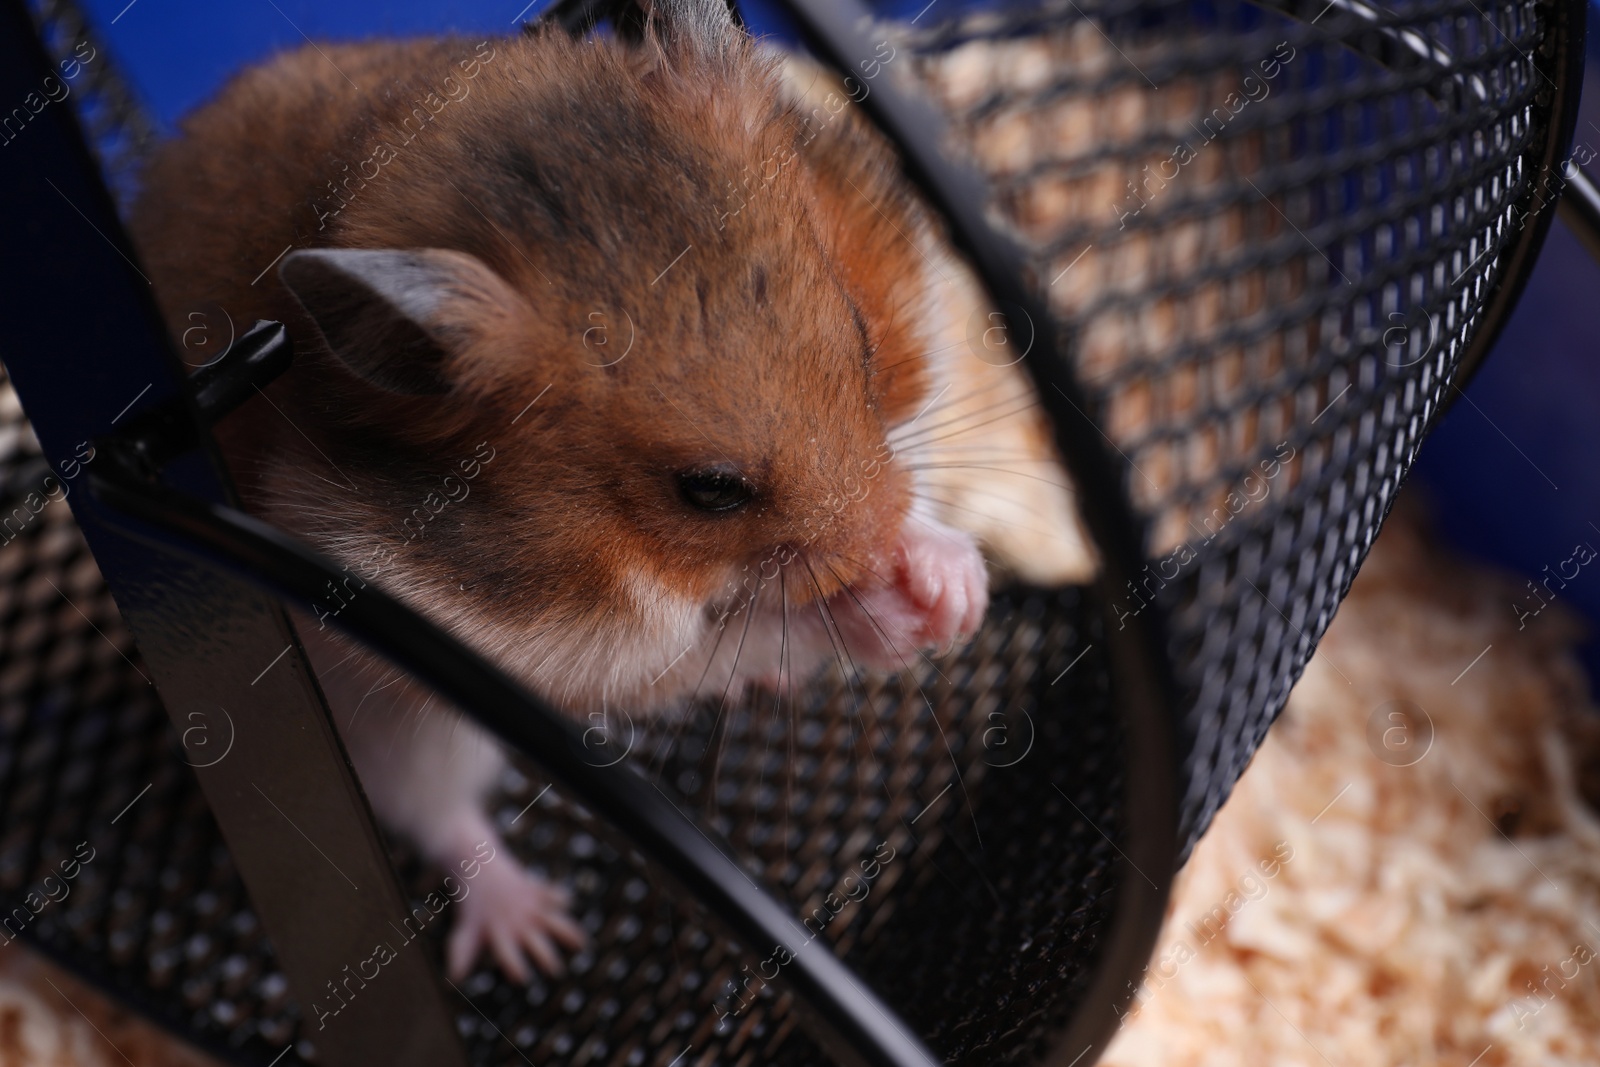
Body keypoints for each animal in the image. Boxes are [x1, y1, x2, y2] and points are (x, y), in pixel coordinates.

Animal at [131, 0, 1094, 985]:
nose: (878, 550)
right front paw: (898, 612)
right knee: (440, 815)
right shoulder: (550, 648)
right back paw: (534, 941)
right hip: (398, 723)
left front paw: (948, 584)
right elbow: (722, 642)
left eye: (863, 343)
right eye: (710, 490)